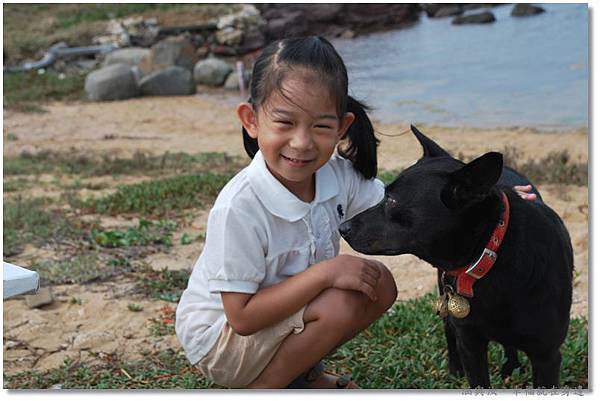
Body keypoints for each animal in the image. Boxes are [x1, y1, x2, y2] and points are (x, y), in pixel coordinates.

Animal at [340, 126, 576, 388]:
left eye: (391, 200)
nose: (343, 227)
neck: (490, 256)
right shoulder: (470, 344)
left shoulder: (546, 356)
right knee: (449, 330)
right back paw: (456, 369)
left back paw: (511, 366)